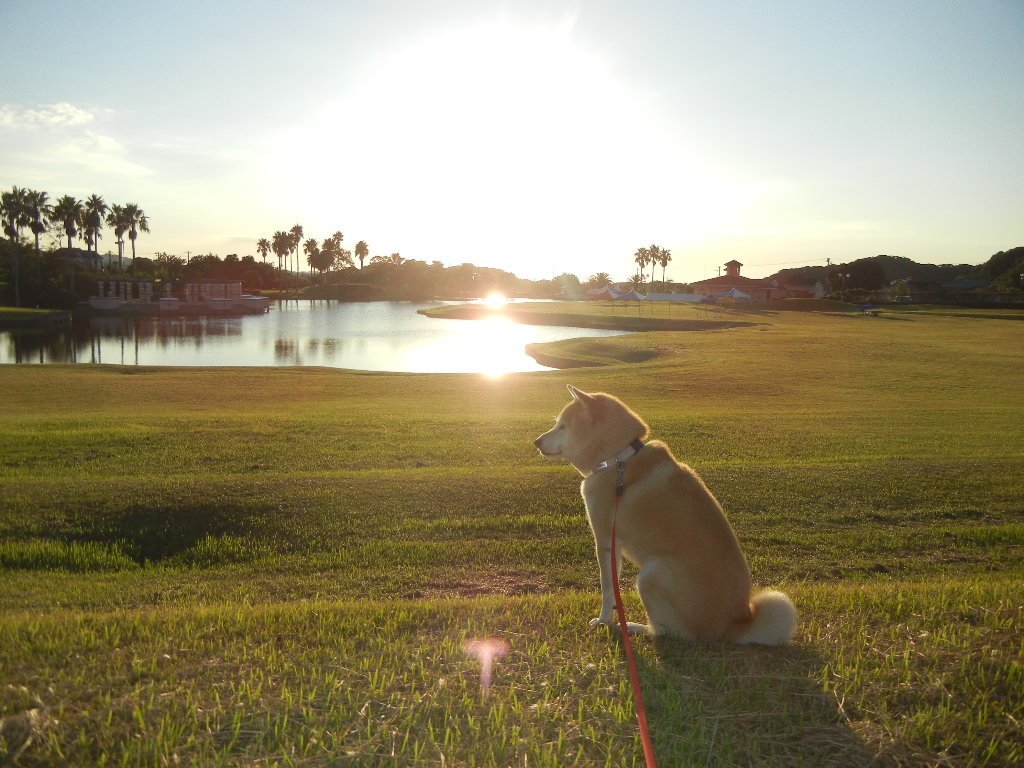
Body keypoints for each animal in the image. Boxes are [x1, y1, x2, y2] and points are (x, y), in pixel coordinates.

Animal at [536, 385, 798, 643]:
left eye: (562, 426)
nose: (536, 441)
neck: (620, 460)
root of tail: (732, 625)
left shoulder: (606, 540)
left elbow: (608, 588)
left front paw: (604, 620)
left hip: (651, 573)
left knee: (670, 632)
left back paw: (633, 627)